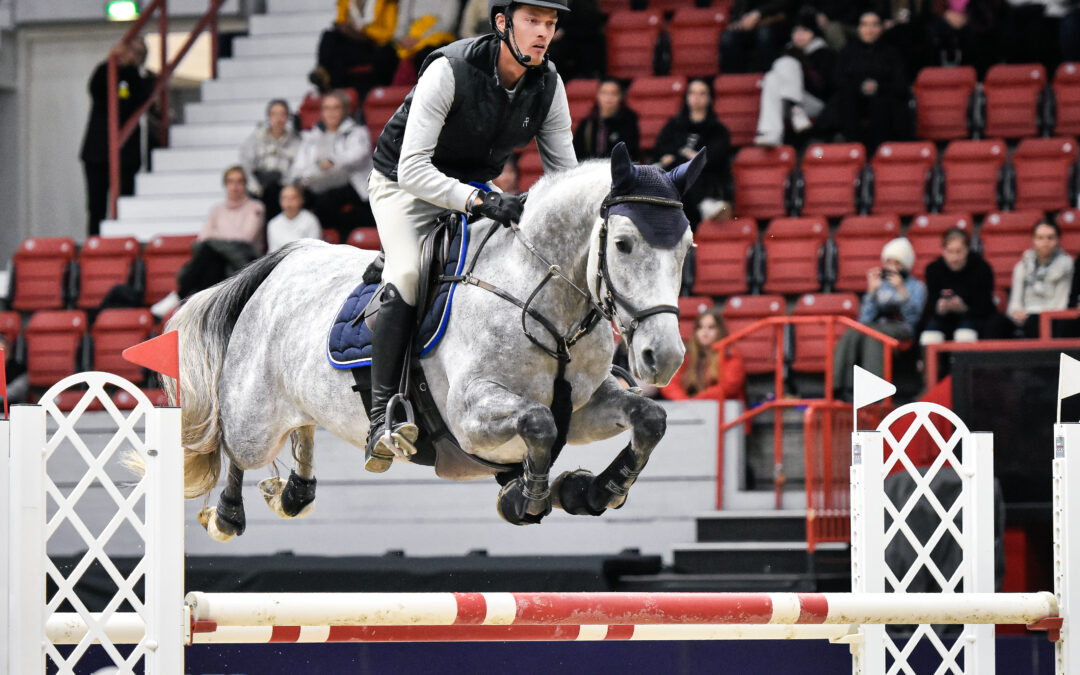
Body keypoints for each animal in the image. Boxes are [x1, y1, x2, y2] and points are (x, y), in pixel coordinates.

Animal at [166, 143, 706, 541]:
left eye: (687, 247)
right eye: (623, 244)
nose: (664, 357)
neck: (540, 299)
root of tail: (282, 262)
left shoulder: (583, 404)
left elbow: (649, 418)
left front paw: (593, 490)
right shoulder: (469, 416)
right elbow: (537, 423)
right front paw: (528, 498)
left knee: (303, 428)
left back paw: (294, 492)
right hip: (255, 417)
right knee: (233, 444)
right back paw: (227, 515)